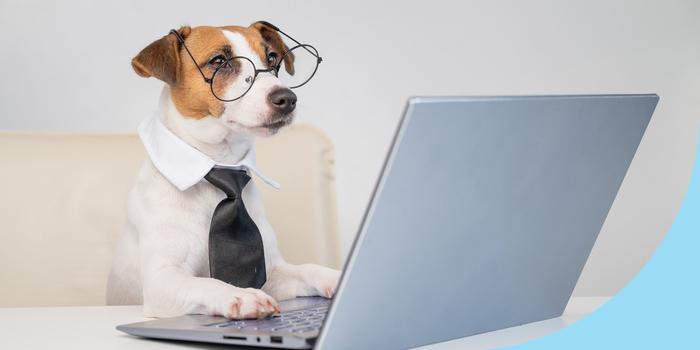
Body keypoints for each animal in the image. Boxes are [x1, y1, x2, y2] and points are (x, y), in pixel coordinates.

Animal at [104, 20, 342, 318]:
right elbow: (207, 283)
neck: (221, 161)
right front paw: (242, 295)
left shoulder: (274, 271)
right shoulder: (162, 280)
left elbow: (308, 269)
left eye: (271, 58)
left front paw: (337, 276)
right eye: (219, 61)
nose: (287, 98)